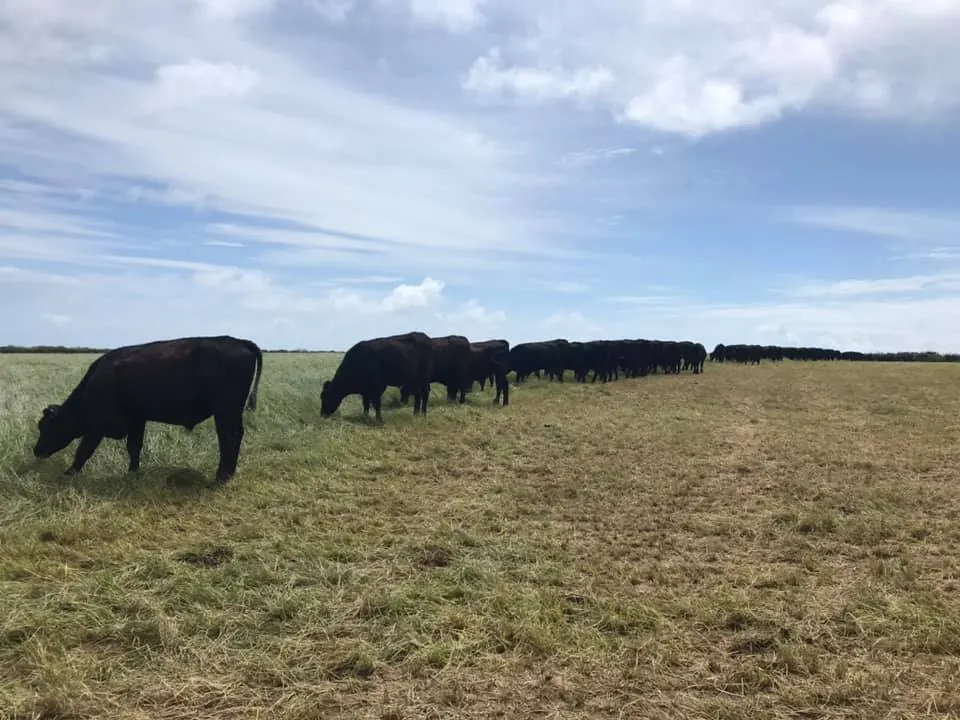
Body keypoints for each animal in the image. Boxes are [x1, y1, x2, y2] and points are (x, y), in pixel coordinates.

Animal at [32, 335, 264, 485]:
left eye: (46, 426)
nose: (37, 450)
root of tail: (238, 341)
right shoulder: (137, 419)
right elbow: (134, 447)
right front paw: (132, 472)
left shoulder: (97, 426)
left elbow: (84, 450)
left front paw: (68, 474)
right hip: (230, 413)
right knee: (234, 436)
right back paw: (227, 474)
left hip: (226, 412)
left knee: (229, 437)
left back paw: (222, 477)